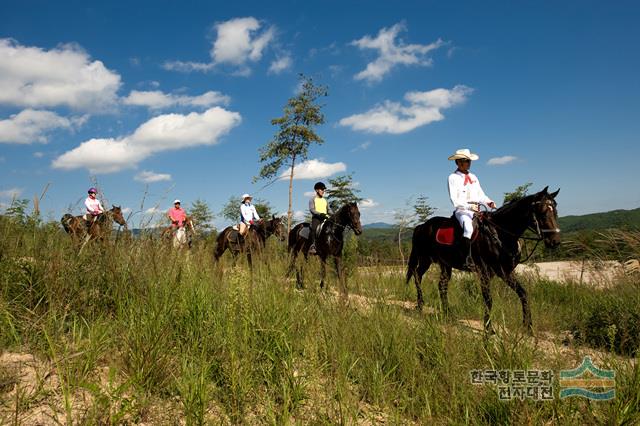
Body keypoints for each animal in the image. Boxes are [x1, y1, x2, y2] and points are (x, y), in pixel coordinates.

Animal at [404, 188, 560, 334]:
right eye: (542, 211)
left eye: (555, 211)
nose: (555, 242)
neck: (500, 233)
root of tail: (421, 226)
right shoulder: (485, 272)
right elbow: (488, 300)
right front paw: (488, 329)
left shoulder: (504, 272)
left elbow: (523, 294)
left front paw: (528, 327)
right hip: (426, 259)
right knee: (417, 275)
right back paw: (420, 306)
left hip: (445, 264)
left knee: (441, 285)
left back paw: (447, 313)